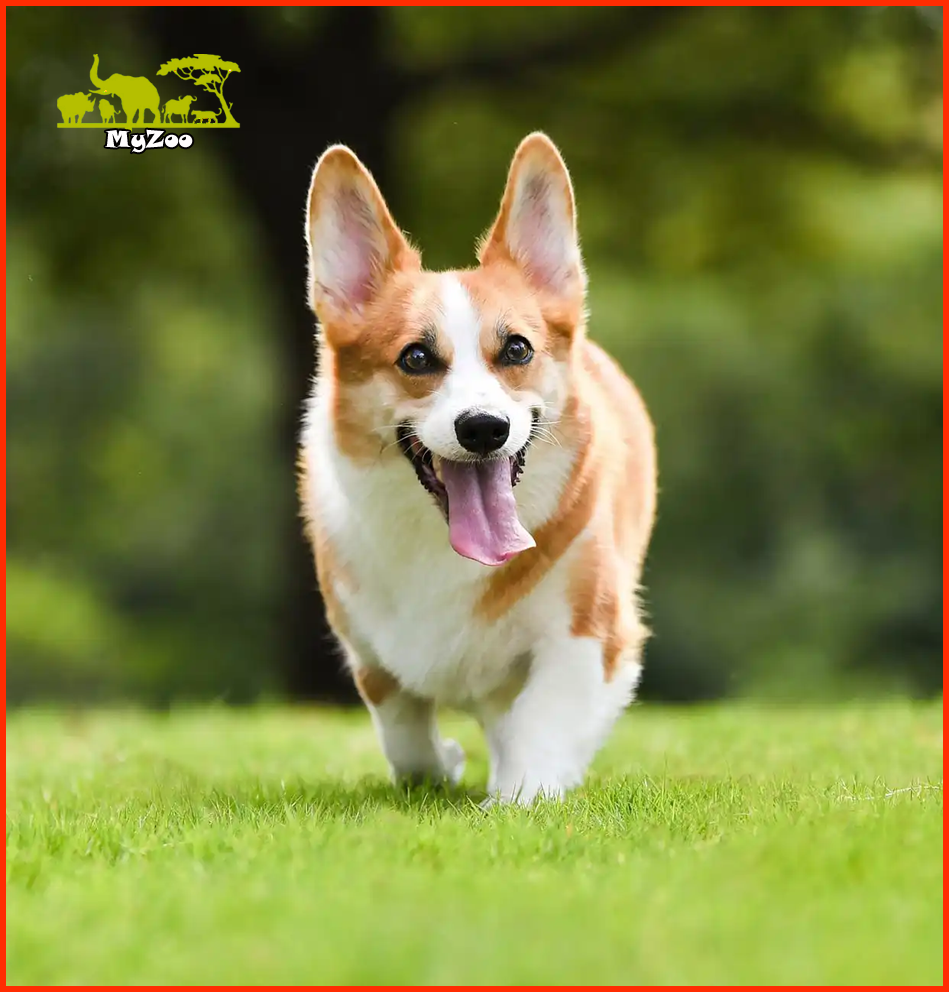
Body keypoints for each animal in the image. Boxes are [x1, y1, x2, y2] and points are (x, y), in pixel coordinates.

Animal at [300, 132, 656, 804]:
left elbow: (543, 721)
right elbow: (403, 731)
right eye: (416, 358)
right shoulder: (369, 650)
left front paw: (520, 795)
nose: (484, 428)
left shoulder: (590, 633)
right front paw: (441, 764)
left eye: (516, 349)